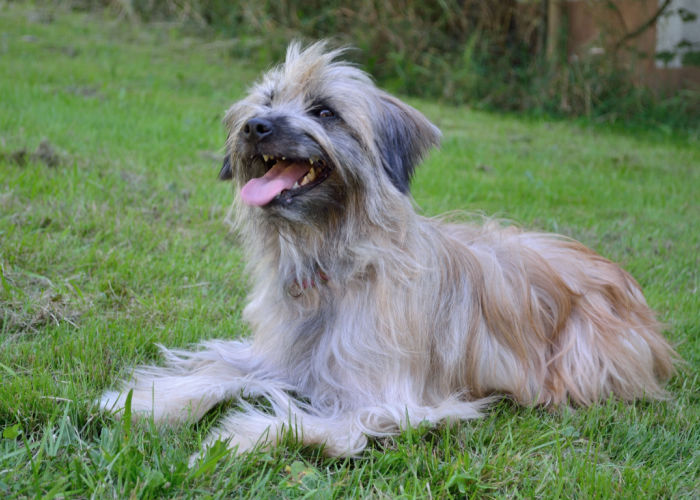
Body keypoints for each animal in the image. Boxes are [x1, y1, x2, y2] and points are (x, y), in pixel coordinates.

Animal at [100, 42, 680, 458]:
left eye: (325, 112)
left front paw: (233, 438)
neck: (336, 258)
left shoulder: (388, 402)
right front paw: (149, 401)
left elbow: (302, 420)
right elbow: (222, 370)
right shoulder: (283, 355)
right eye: (266, 101)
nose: (256, 126)